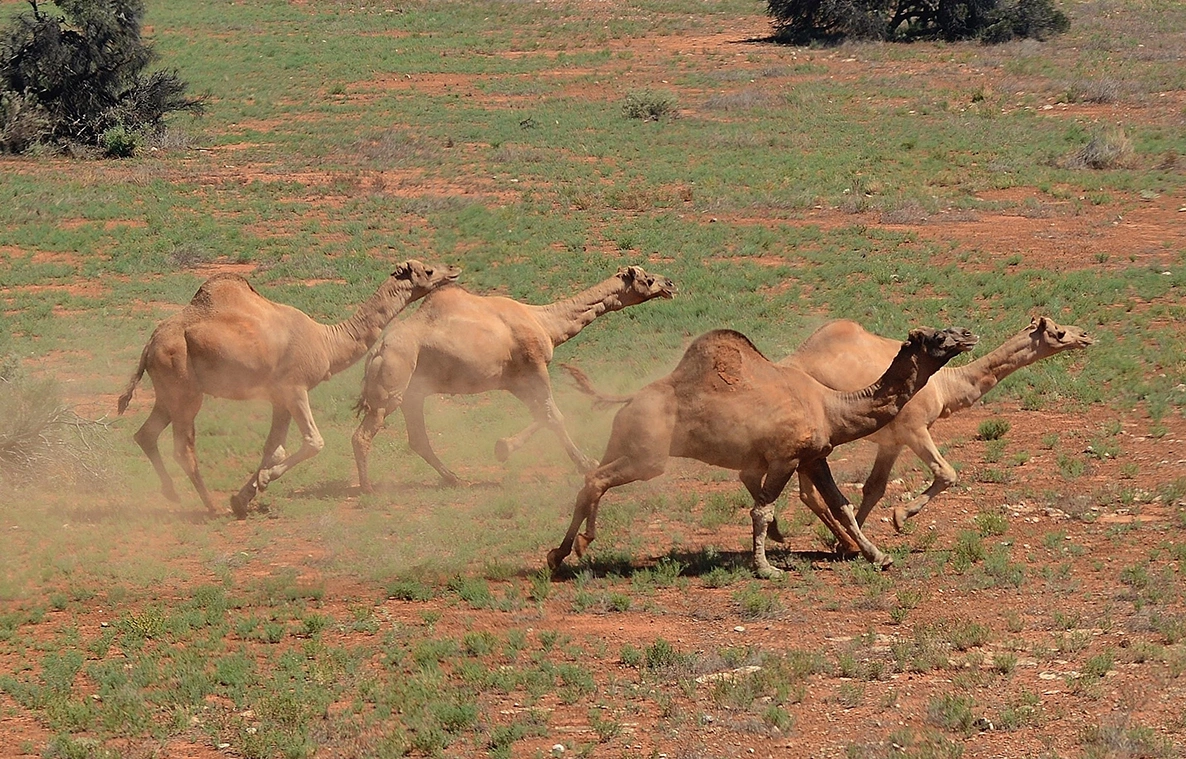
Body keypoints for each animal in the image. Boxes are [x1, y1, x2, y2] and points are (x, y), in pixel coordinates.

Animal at [117, 260, 461, 517]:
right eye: (428, 270)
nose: (453, 269)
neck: (327, 342)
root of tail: (150, 343)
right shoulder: (294, 387)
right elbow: (314, 441)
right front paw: (260, 483)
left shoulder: (277, 397)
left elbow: (274, 448)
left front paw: (243, 498)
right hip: (184, 385)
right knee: (182, 447)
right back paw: (211, 507)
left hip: (168, 390)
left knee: (146, 434)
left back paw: (173, 494)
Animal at [350, 265, 675, 492]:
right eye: (647, 278)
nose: (670, 283)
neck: (545, 323)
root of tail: (377, 350)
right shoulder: (534, 366)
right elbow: (554, 416)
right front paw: (587, 464)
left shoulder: (515, 379)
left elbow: (543, 415)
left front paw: (502, 447)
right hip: (393, 381)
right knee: (363, 434)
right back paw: (368, 489)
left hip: (414, 391)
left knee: (417, 438)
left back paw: (455, 479)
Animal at [549, 325, 978, 577]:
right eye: (939, 338)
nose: (968, 333)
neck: (830, 406)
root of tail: (630, 397)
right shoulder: (785, 457)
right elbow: (762, 510)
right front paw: (766, 569)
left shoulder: (814, 456)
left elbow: (841, 505)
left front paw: (879, 555)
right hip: (648, 455)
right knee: (596, 479)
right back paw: (564, 552)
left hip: (624, 439)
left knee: (593, 476)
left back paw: (569, 549)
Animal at [780, 316, 1093, 549]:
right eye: (1059, 332)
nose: (1086, 335)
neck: (945, 386)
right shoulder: (914, 429)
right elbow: (946, 473)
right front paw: (899, 517)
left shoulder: (892, 441)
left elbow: (874, 487)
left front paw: (851, 543)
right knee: (808, 491)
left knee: (808, 493)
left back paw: (840, 540)